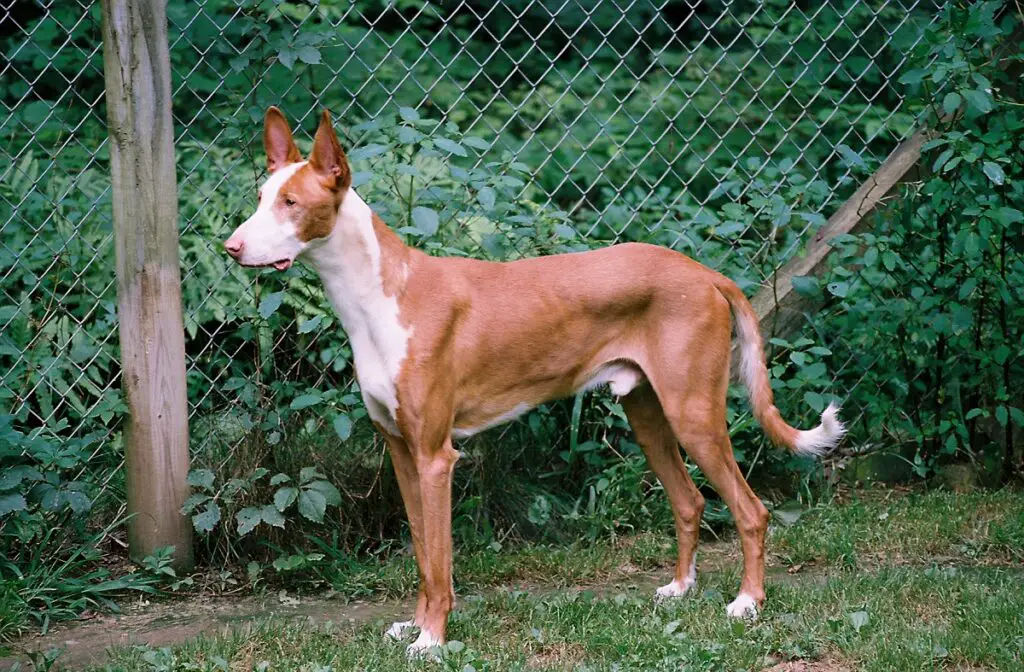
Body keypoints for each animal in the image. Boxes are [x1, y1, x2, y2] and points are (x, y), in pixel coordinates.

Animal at [226, 106, 847, 655]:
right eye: (260, 199)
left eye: (290, 203)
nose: (231, 247)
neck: (382, 297)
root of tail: (705, 273)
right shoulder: (402, 452)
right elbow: (424, 555)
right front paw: (414, 627)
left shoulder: (435, 457)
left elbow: (441, 562)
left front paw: (432, 640)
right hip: (649, 415)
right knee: (691, 501)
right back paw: (680, 588)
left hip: (694, 415)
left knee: (751, 510)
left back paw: (748, 603)